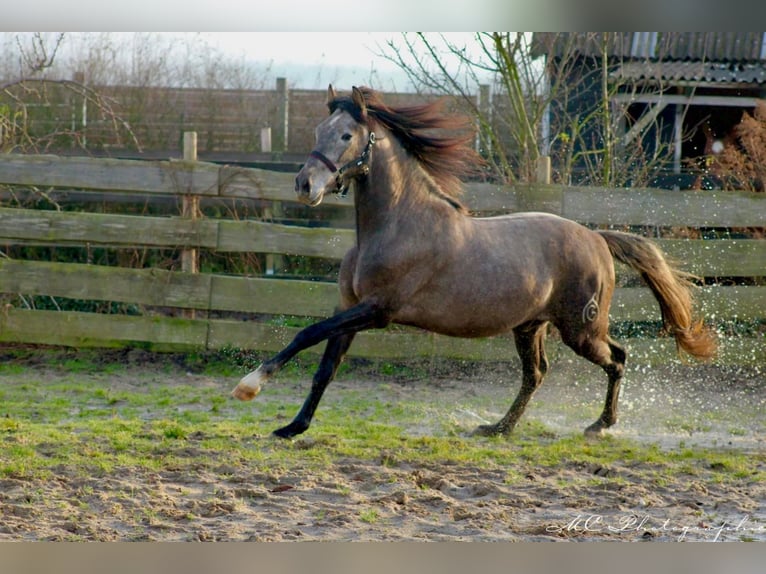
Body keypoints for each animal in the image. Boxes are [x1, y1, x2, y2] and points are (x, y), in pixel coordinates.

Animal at [231, 84, 716, 440]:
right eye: (319, 130)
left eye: (347, 135)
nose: (304, 185)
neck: (397, 225)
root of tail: (596, 237)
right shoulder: (348, 309)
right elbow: (324, 369)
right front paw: (291, 428)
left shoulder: (377, 310)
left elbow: (305, 334)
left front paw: (250, 385)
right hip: (530, 327)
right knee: (536, 375)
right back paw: (498, 428)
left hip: (581, 329)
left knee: (617, 358)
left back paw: (600, 425)